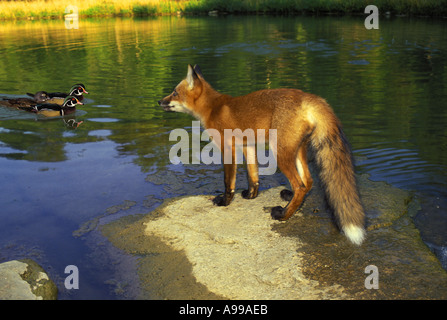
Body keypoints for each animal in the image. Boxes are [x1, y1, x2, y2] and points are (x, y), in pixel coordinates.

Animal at [159, 64, 366, 245]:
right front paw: (251, 195)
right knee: (308, 181)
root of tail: (309, 96)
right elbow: (253, 175)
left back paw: (283, 215)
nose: (159, 101)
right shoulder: (248, 146)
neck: (213, 107)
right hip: (297, 151)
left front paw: (225, 201)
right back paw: (290, 202)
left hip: (280, 152)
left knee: (300, 185)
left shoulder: (228, 148)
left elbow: (228, 182)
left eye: (174, 92)